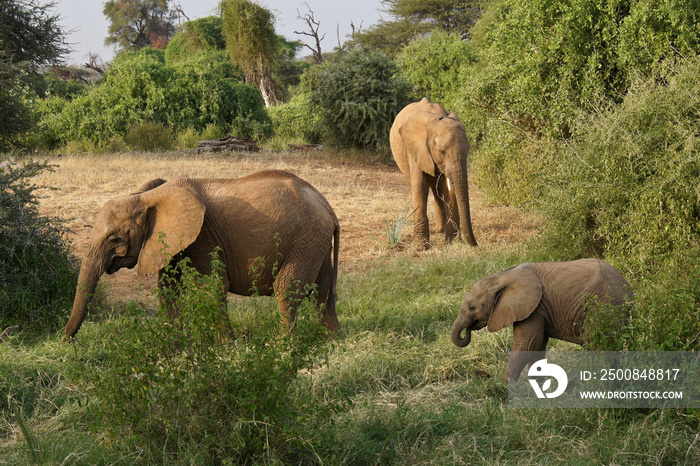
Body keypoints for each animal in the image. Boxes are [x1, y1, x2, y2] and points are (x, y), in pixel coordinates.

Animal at [61, 170, 340, 342]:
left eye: (114, 239)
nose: (65, 342)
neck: (147, 197)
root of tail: (328, 207)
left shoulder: (202, 235)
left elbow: (213, 286)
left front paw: (228, 346)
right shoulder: (170, 241)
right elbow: (169, 288)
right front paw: (173, 344)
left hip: (305, 239)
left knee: (287, 289)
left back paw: (284, 345)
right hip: (316, 243)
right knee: (324, 292)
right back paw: (331, 341)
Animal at [392, 98, 478, 249]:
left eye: (468, 150)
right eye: (442, 151)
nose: (475, 245)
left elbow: (449, 190)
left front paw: (451, 243)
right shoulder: (417, 149)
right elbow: (420, 186)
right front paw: (420, 248)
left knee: (438, 190)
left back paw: (440, 230)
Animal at [452, 258, 632, 382]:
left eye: (472, 308)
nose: (467, 330)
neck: (501, 277)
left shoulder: (535, 308)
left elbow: (527, 344)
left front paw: (507, 388)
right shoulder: (539, 309)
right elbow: (537, 345)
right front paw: (539, 385)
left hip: (603, 308)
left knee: (599, 346)